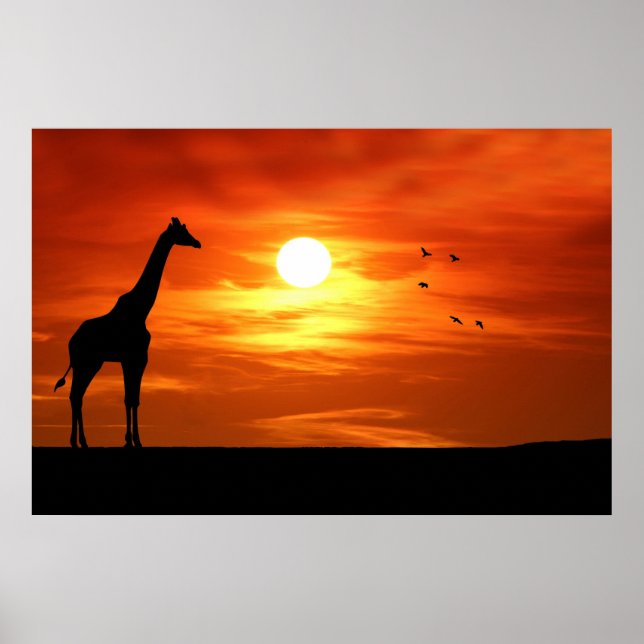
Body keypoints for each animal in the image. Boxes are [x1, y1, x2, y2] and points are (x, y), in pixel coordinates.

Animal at [54, 217, 201, 448]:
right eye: (182, 231)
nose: (197, 243)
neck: (142, 310)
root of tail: (71, 342)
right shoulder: (138, 357)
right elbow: (132, 398)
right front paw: (135, 441)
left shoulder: (130, 359)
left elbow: (130, 398)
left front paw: (130, 440)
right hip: (88, 363)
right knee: (76, 394)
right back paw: (80, 441)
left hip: (88, 363)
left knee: (76, 395)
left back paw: (79, 442)